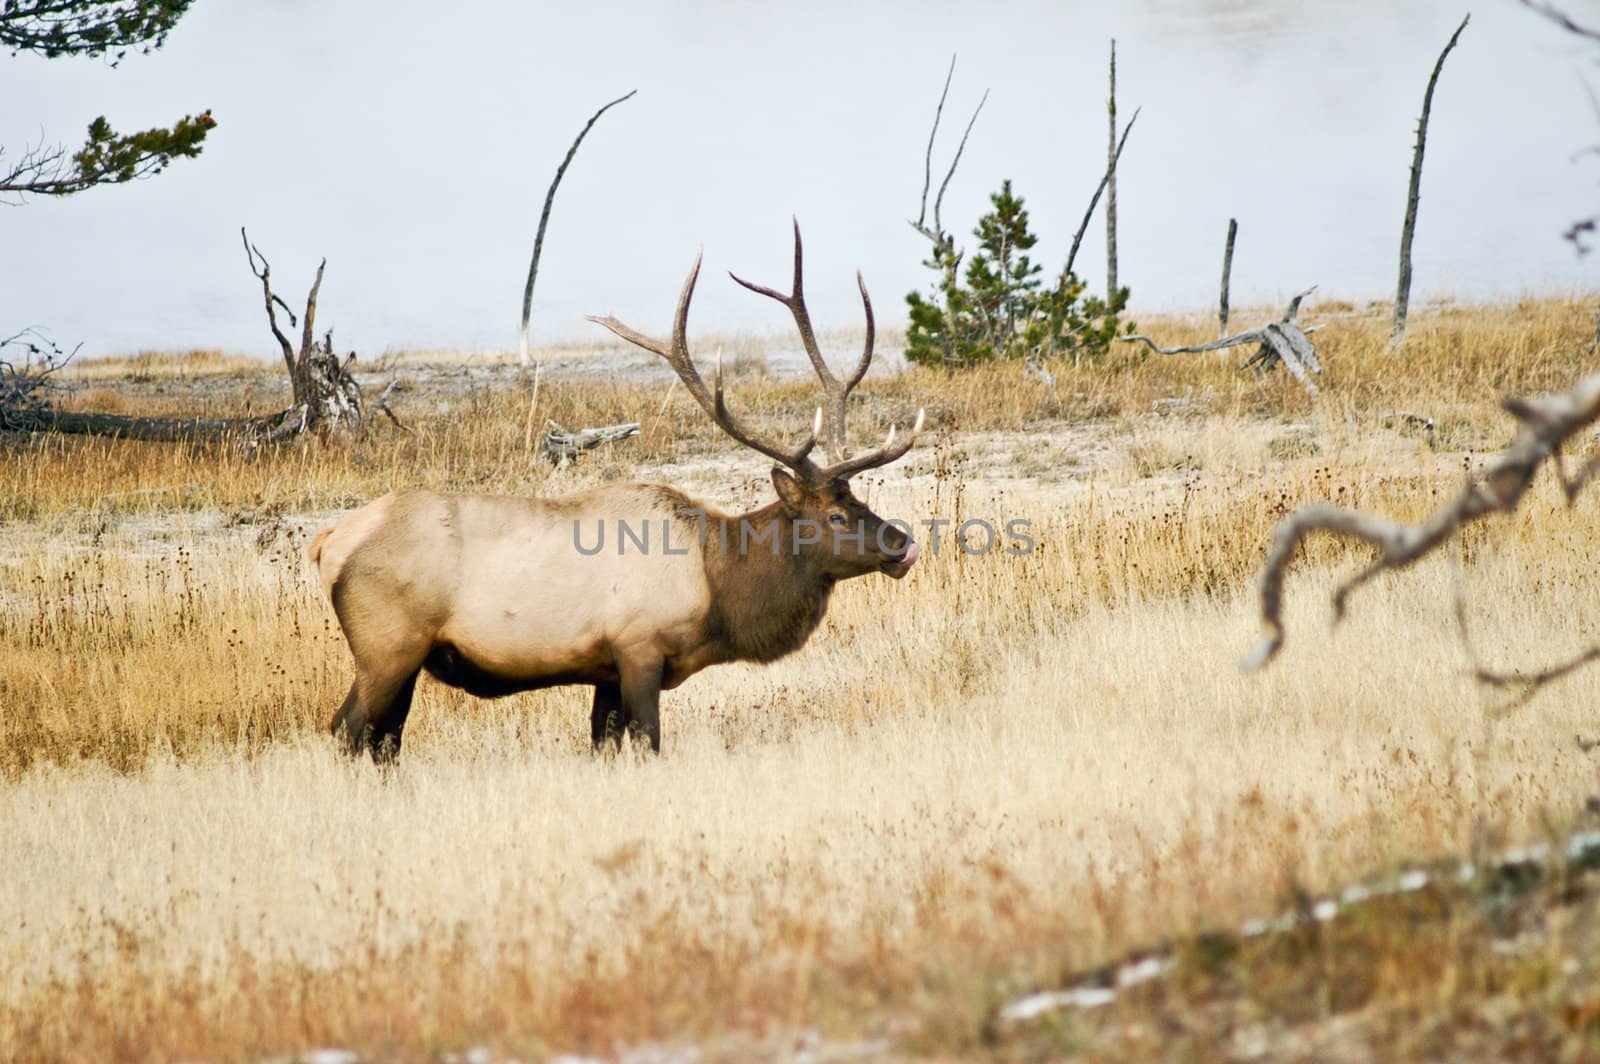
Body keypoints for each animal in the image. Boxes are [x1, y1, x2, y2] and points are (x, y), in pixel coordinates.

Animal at [307, 222, 928, 755]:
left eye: (860, 499)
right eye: (835, 515)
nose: (904, 543)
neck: (717, 584)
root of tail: (328, 541)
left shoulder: (604, 670)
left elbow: (602, 745)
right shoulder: (638, 648)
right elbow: (648, 741)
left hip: (406, 659)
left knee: (384, 742)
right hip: (386, 646)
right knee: (345, 730)